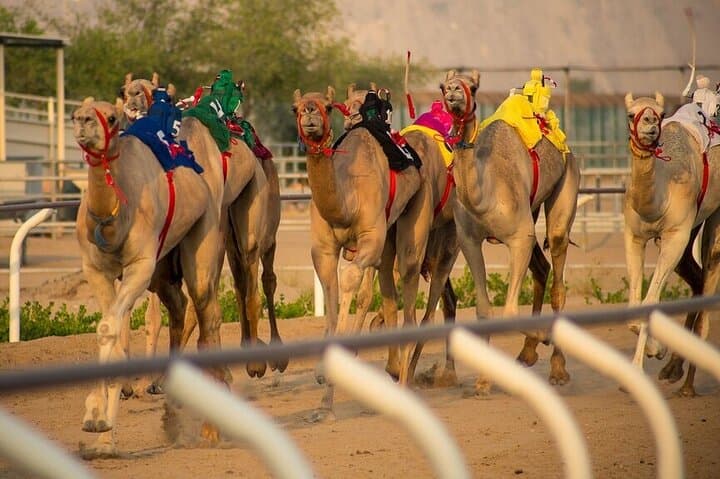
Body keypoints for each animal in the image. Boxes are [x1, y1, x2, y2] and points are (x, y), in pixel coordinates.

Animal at [73, 99, 225, 456]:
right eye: (75, 113)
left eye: (112, 118)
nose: (84, 122)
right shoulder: (96, 270)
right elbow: (111, 330)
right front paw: (102, 434)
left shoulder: (140, 266)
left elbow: (109, 328)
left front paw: (96, 415)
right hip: (164, 268)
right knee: (179, 306)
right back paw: (169, 409)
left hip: (206, 230)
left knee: (206, 310)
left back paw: (211, 430)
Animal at [123, 74, 285, 380]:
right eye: (124, 91)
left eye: (152, 90)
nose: (132, 95)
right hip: (229, 232)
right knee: (239, 280)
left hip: (260, 211)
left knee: (261, 276)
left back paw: (267, 359)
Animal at [292, 86, 425, 417]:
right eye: (294, 108)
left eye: (327, 106)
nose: (310, 112)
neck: (345, 201)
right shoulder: (323, 250)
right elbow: (333, 292)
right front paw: (323, 401)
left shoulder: (371, 237)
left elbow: (351, 280)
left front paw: (328, 370)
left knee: (407, 275)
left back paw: (404, 383)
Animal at [441, 69, 580, 394]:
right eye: (443, 85)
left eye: (473, 86)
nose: (453, 92)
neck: (485, 197)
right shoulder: (469, 240)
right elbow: (483, 309)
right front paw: (482, 382)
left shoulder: (519, 238)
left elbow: (509, 311)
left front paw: (544, 336)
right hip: (531, 211)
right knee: (541, 268)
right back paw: (527, 353)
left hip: (568, 181)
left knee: (558, 279)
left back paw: (557, 368)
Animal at [624, 84, 720, 397]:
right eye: (630, 114)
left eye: (661, 113)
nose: (650, 125)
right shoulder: (634, 236)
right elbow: (635, 306)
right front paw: (655, 353)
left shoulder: (675, 235)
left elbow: (650, 301)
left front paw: (644, 362)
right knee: (697, 279)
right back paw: (674, 370)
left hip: (711, 221)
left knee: (710, 272)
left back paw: (687, 384)